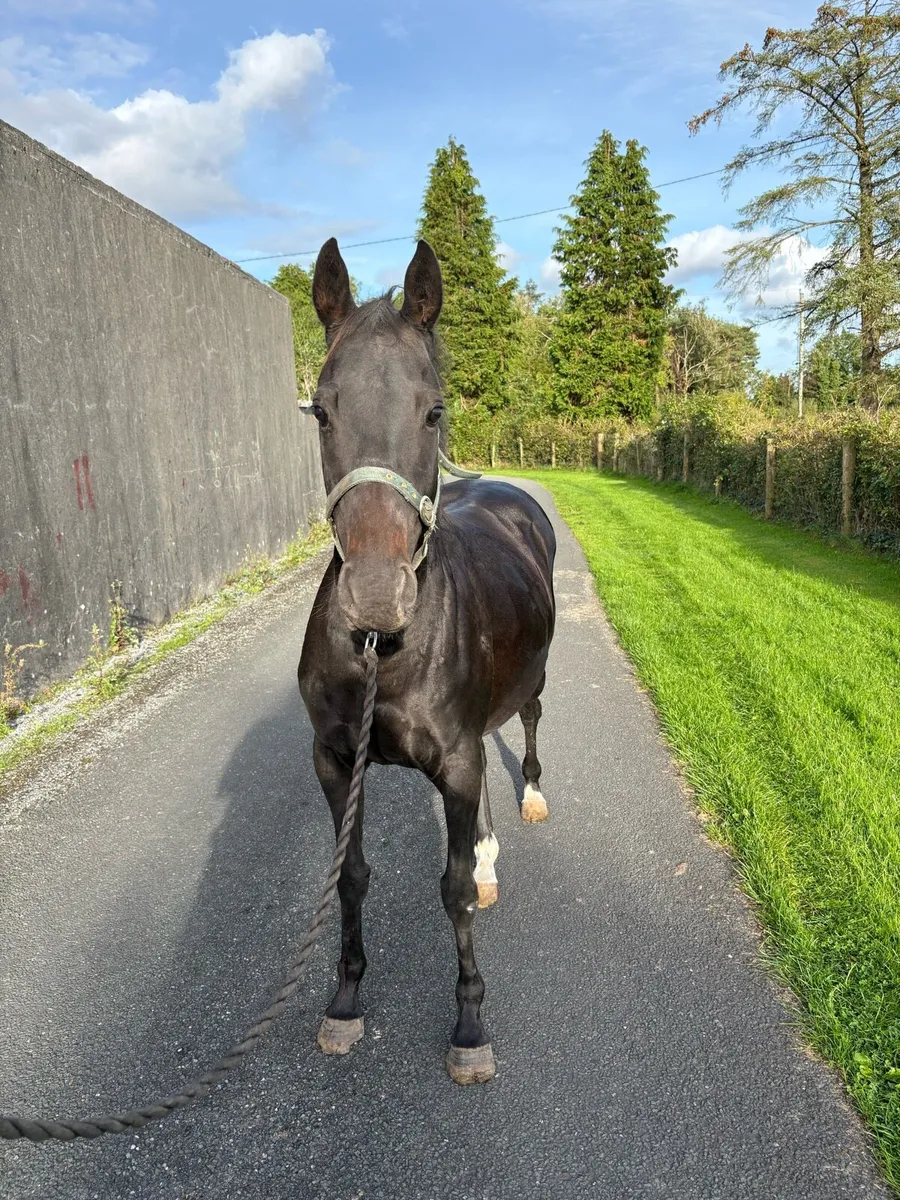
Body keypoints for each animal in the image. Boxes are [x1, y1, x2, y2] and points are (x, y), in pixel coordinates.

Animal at [298, 238, 556, 1084]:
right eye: (322, 409)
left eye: (434, 409)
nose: (377, 598)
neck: (385, 656)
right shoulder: (335, 761)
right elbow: (351, 875)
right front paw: (345, 1001)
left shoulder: (459, 758)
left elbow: (453, 890)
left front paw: (470, 1022)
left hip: (532, 684)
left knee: (528, 724)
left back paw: (531, 797)